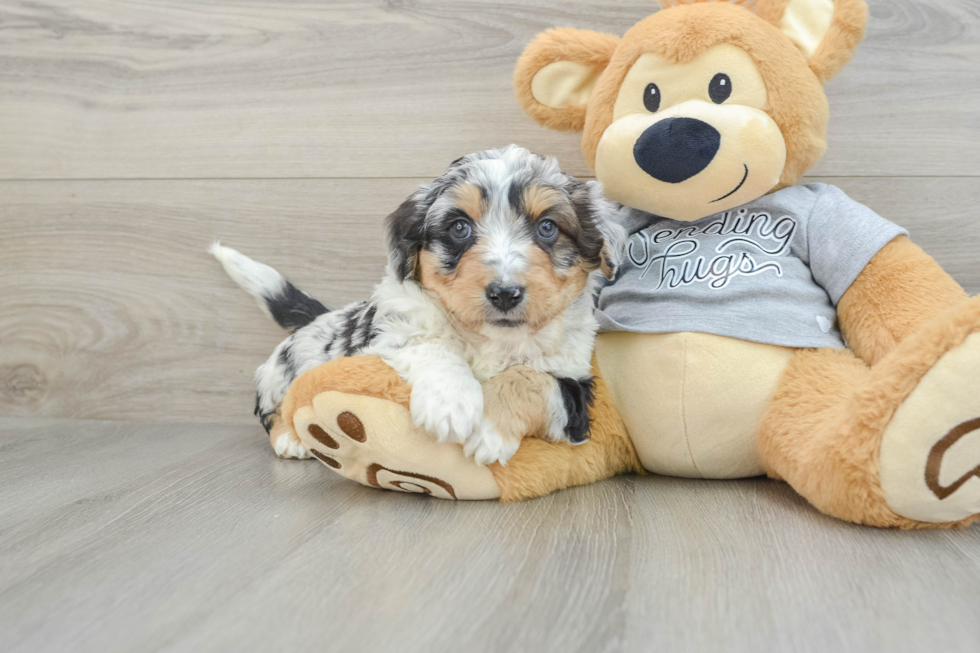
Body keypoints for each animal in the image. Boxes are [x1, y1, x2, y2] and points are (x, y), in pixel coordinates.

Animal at [214, 146, 628, 466]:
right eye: (459, 228)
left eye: (547, 228)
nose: (505, 293)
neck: (493, 339)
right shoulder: (392, 331)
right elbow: (433, 345)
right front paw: (451, 404)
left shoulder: (576, 387)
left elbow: (528, 378)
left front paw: (489, 430)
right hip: (282, 374)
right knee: (274, 409)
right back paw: (290, 438)